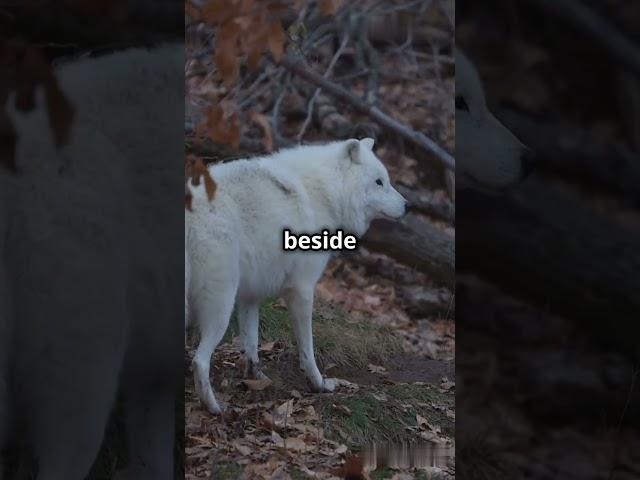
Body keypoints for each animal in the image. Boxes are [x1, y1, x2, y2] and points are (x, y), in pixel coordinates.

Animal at [184, 138, 404, 412]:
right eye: (379, 182)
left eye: (386, 180)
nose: (407, 206)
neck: (325, 193)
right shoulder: (302, 289)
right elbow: (307, 347)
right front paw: (318, 384)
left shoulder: (250, 295)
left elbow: (251, 344)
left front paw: (256, 379)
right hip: (221, 304)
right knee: (199, 361)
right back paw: (215, 408)